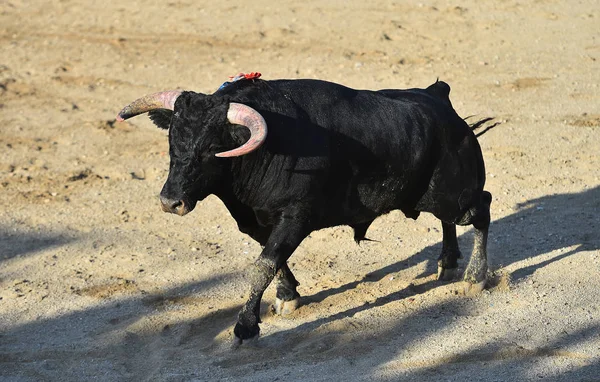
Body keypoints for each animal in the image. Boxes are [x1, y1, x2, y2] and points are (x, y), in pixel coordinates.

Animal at [117, 78, 492, 346]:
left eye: (211, 147)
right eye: (171, 141)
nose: (171, 202)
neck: (269, 147)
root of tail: (438, 98)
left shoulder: (296, 218)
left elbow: (263, 266)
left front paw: (245, 327)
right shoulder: (257, 222)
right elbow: (273, 260)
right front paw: (288, 296)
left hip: (454, 194)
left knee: (482, 209)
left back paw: (474, 277)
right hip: (438, 198)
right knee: (450, 221)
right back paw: (447, 263)